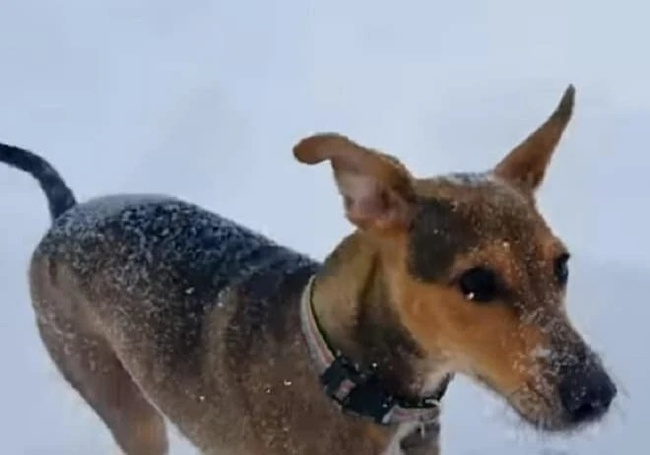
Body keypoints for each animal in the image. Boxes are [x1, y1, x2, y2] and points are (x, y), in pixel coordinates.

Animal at [2, 84, 616, 452]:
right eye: (476, 283)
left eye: (562, 266)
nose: (597, 398)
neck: (353, 378)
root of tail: (68, 212)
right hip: (123, 401)